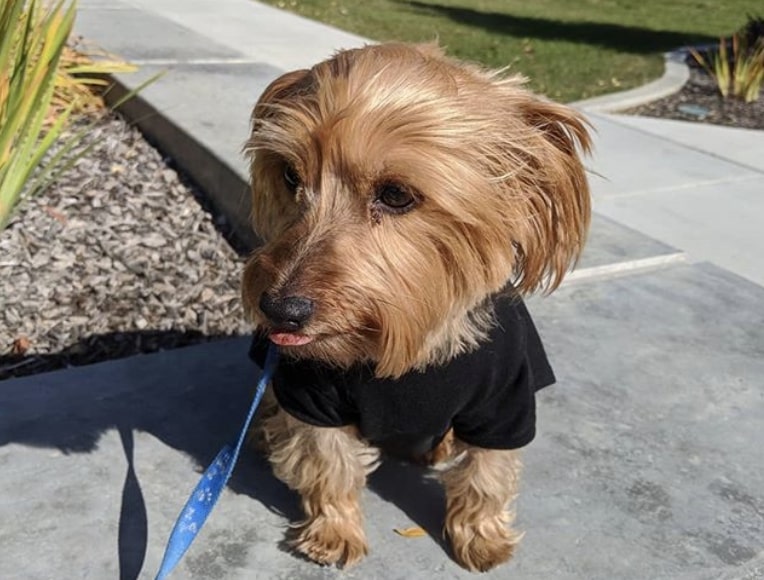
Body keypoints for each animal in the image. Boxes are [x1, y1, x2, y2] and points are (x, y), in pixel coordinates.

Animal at [242, 43, 588, 572]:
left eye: (396, 194)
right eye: (289, 175)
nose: (279, 309)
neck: (409, 345)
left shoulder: (505, 403)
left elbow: (488, 472)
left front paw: (482, 537)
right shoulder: (311, 398)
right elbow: (328, 464)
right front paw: (334, 531)